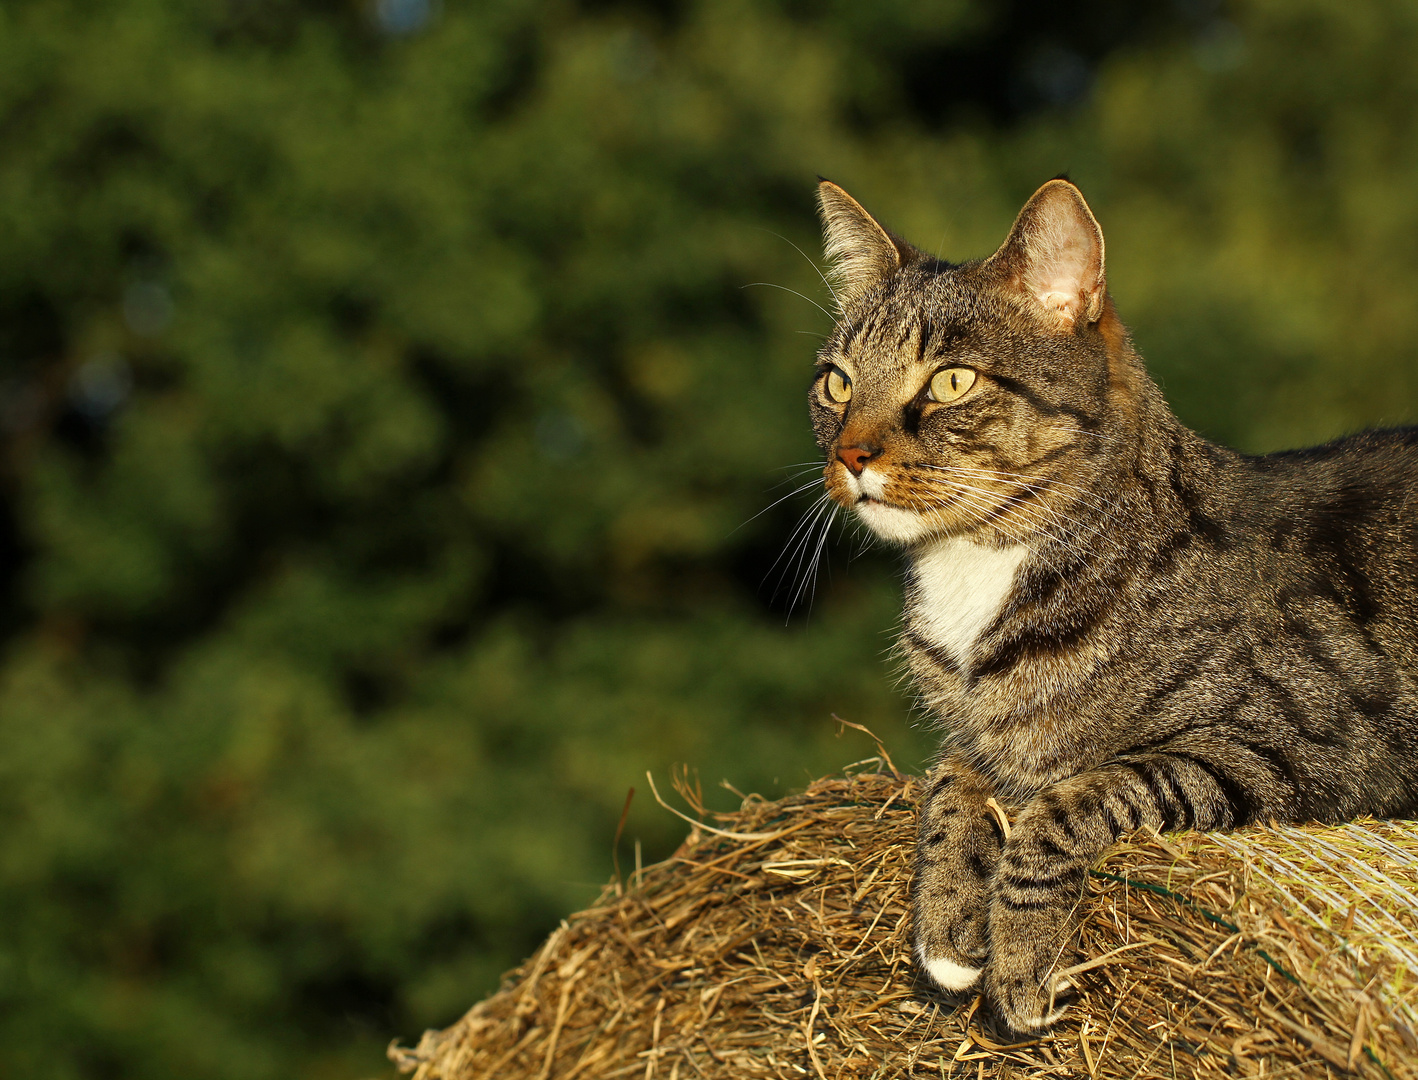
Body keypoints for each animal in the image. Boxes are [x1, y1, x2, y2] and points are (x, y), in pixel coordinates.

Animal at [811, 178, 1418, 1037]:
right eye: (837, 382)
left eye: (952, 381)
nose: (850, 454)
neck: (979, 568)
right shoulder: (979, 741)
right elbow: (948, 785)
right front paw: (948, 929)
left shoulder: (1305, 748)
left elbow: (1071, 801)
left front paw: (1021, 960)